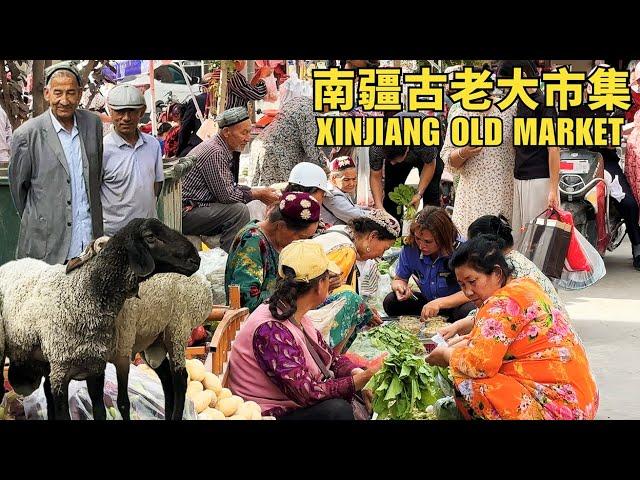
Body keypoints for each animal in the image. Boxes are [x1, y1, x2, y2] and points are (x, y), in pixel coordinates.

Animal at [0, 218, 200, 420]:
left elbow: (101, 410)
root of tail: (12, 263)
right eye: (150, 236)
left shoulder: (96, 366)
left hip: (170, 333)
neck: (83, 293)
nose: (196, 259)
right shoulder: (61, 372)